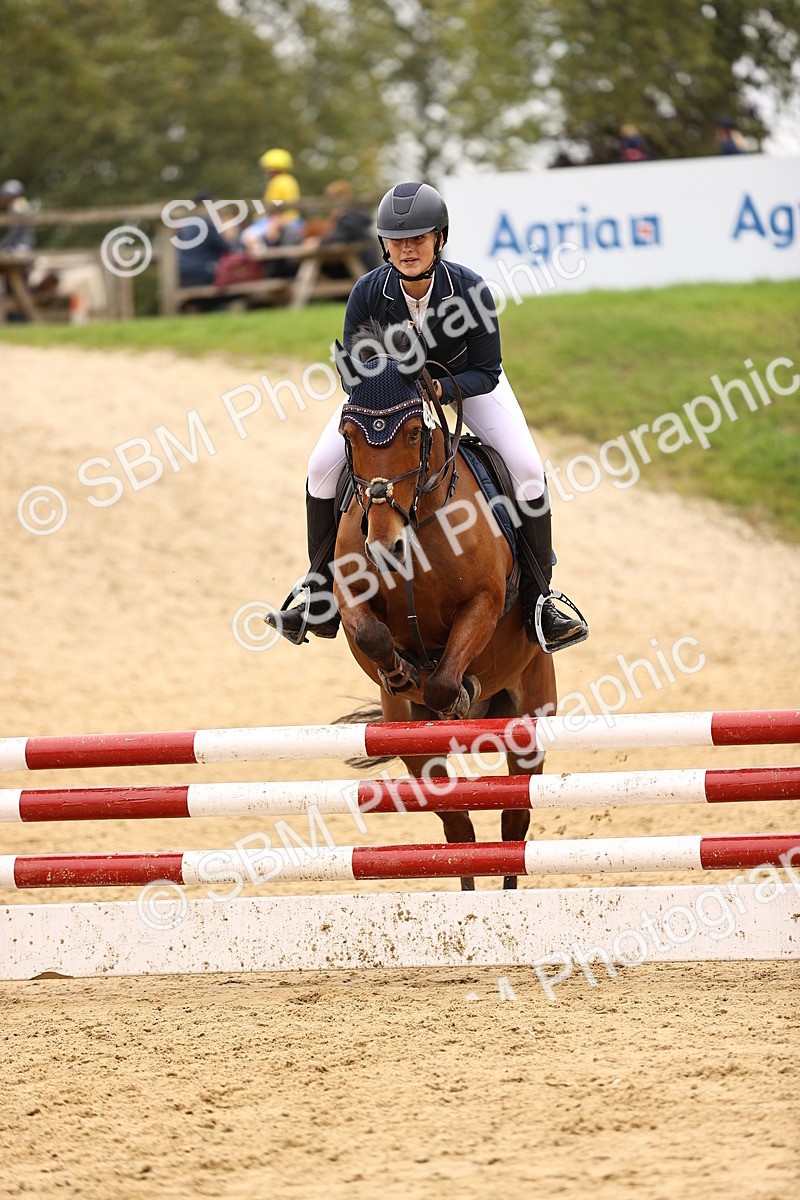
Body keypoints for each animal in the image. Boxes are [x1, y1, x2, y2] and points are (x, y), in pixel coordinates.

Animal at [331, 323, 557, 890]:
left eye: (414, 432)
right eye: (349, 435)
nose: (384, 547)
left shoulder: (484, 602)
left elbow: (443, 680)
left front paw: (453, 693)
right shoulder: (349, 590)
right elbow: (372, 636)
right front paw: (400, 672)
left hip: (530, 716)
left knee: (514, 820)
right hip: (415, 748)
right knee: (458, 830)